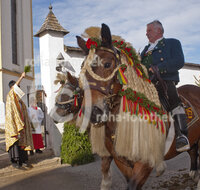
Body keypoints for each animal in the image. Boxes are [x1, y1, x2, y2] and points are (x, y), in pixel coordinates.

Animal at [51, 24, 200, 189]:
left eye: (107, 64)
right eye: (83, 68)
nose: (93, 112)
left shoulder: (144, 163)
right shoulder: (121, 160)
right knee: (193, 151)